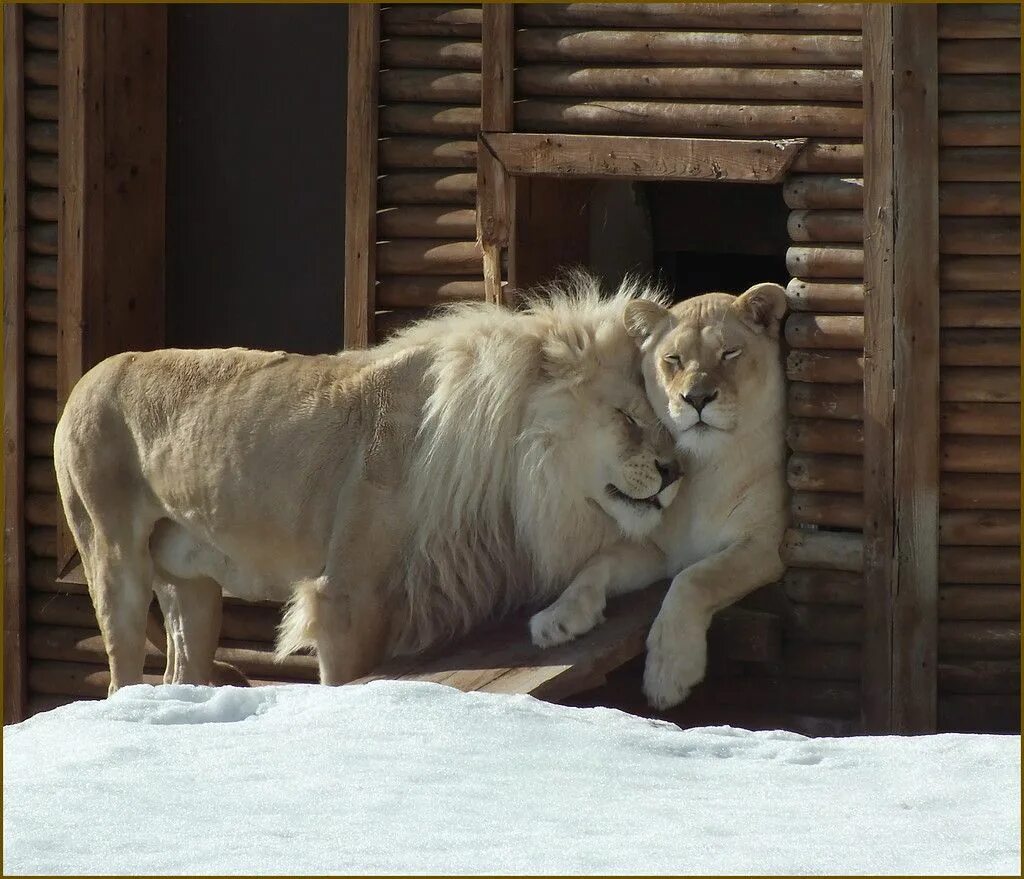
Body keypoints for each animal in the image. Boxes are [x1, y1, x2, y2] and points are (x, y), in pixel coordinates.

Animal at [54, 274, 679, 692]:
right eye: (627, 417)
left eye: (665, 417)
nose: (676, 471)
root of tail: (87, 377)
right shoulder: (344, 601)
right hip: (113, 559)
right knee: (120, 672)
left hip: (192, 583)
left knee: (182, 666)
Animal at [532, 280, 786, 704]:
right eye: (674, 359)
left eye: (729, 353)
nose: (696, 399)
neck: (704, 467)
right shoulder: (658, 548)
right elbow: (597, 564)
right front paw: (555, 619)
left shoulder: (765, 544)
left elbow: (694, 579)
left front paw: (669, 673)